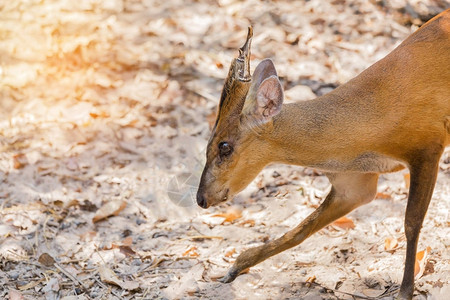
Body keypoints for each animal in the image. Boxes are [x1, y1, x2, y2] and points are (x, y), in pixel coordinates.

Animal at [197, 9, 450, 300]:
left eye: (224, 146)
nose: (201, 199)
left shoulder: (428, 146)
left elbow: (412, 222)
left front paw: (405, 291)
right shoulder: (354, 183)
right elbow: (303, 229)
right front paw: (235, 267)